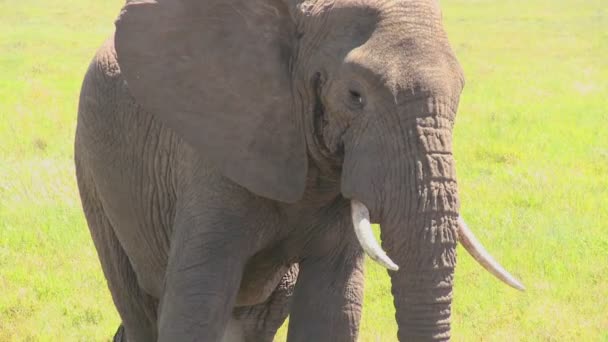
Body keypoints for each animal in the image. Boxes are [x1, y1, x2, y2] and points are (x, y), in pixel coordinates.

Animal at [73, 0, 524, 342]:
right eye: (354, 96)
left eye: (460, 92)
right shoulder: (216, 152)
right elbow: (196, 300)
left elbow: (332, 308)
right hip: (92, 170)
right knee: (137, 303)